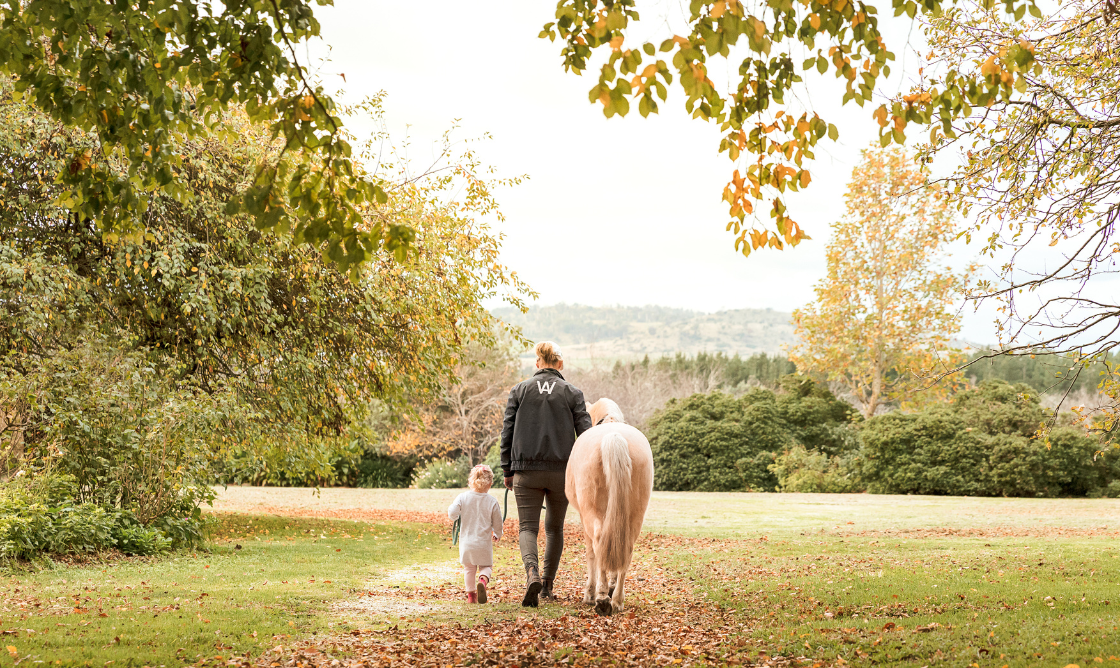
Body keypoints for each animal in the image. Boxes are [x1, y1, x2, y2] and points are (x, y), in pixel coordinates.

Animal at [564, 396, 654, 614]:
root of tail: (614, 437)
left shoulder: (584, 518)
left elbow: (591, 554)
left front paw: (590, 593)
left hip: (592, 513)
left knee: (598, 543)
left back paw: (602, 598)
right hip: (635, 515)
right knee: (627, 547)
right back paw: (617, 599)